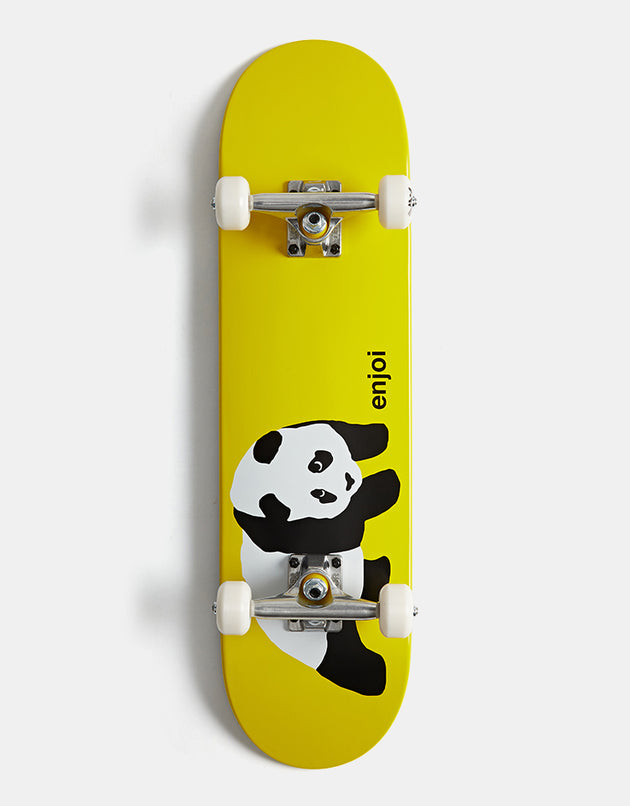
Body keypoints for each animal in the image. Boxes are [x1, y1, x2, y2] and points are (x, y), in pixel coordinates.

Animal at [230, 420, 400, 696]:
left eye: (318, 463)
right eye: (320, 493)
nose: (349, 481)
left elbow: (353, 431)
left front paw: (379, 437)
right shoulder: (277, 527)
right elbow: (347, 522)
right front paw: (385, 484)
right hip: (329, 648)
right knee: (342, 653)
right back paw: (372, 675)